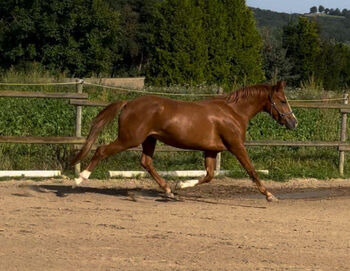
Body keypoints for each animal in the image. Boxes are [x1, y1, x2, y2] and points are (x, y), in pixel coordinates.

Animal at [72, 81, 296, 202]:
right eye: (283, 101)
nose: (294, 122)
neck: (233, 112)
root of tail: (129, 103)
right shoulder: (236, 146)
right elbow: (251, 171)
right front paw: (269, 195)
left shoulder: (211, 150)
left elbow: (209, 176)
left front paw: (180, 184)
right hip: (129, 139)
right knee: (101, 150)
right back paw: (79, 179)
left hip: (149, 140)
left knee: (146, 162)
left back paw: (169, 191)